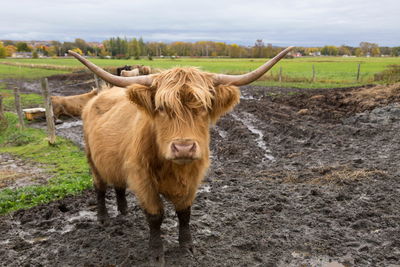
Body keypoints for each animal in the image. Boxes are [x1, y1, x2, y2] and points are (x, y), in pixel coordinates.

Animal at [68, 47, 294, 266]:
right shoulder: (143, 179)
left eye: (203, 107)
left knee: (119, 185)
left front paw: (187, 247)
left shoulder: (193, 179)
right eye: (161, 108)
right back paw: (103, 218)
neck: (174, 168)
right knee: (100, 187)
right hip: (93, 160)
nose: (184, 148)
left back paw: (124, 213)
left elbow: (185, 213)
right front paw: (156, 255)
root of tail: (101, 94)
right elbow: (155, 216)